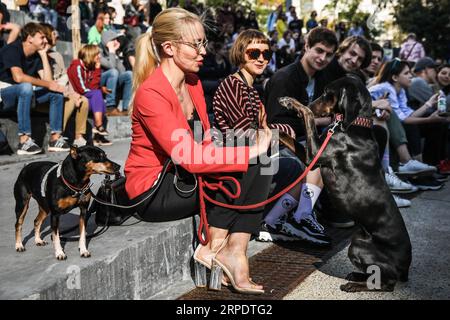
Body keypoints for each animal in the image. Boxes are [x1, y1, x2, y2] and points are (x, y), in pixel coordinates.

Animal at [280, 75, 414, 292]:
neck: (352, 125)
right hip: (359, 238)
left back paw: (354, 285)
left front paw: (290, 104)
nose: (312, 103)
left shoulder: (313, 156)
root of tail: (405, 268)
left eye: (327, 93)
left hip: (358, 246)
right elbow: (291, 136)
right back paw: (356, 276)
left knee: (387, 283)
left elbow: (307, 116)